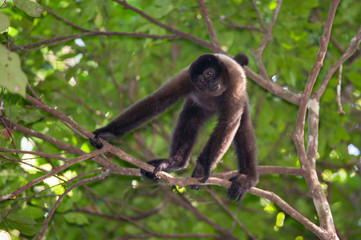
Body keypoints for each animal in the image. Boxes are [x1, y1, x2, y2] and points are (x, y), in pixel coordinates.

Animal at [90, 53, 258, 202]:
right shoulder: (187, 79)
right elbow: (158, 100)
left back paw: (247, 178)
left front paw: (203, 167)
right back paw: (176, 162)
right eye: (201, 80)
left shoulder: (235, 86)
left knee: (242, 127)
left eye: (210, 73)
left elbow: (228, 123)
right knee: (190, 118)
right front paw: (107, 132)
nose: (209, 84)